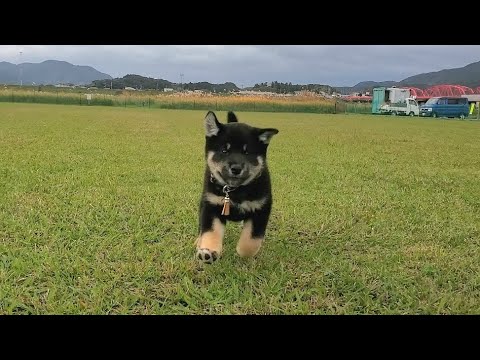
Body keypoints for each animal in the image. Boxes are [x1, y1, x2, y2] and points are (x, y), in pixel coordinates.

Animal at [194, 111, 278, 262]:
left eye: (247, 152)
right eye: (224, 151)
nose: (236, 168)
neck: (235, 191)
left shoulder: (261, 209)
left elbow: (251, 241)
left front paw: (242, 251)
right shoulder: (212, 205)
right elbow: (210, 231)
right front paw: (208, 251)